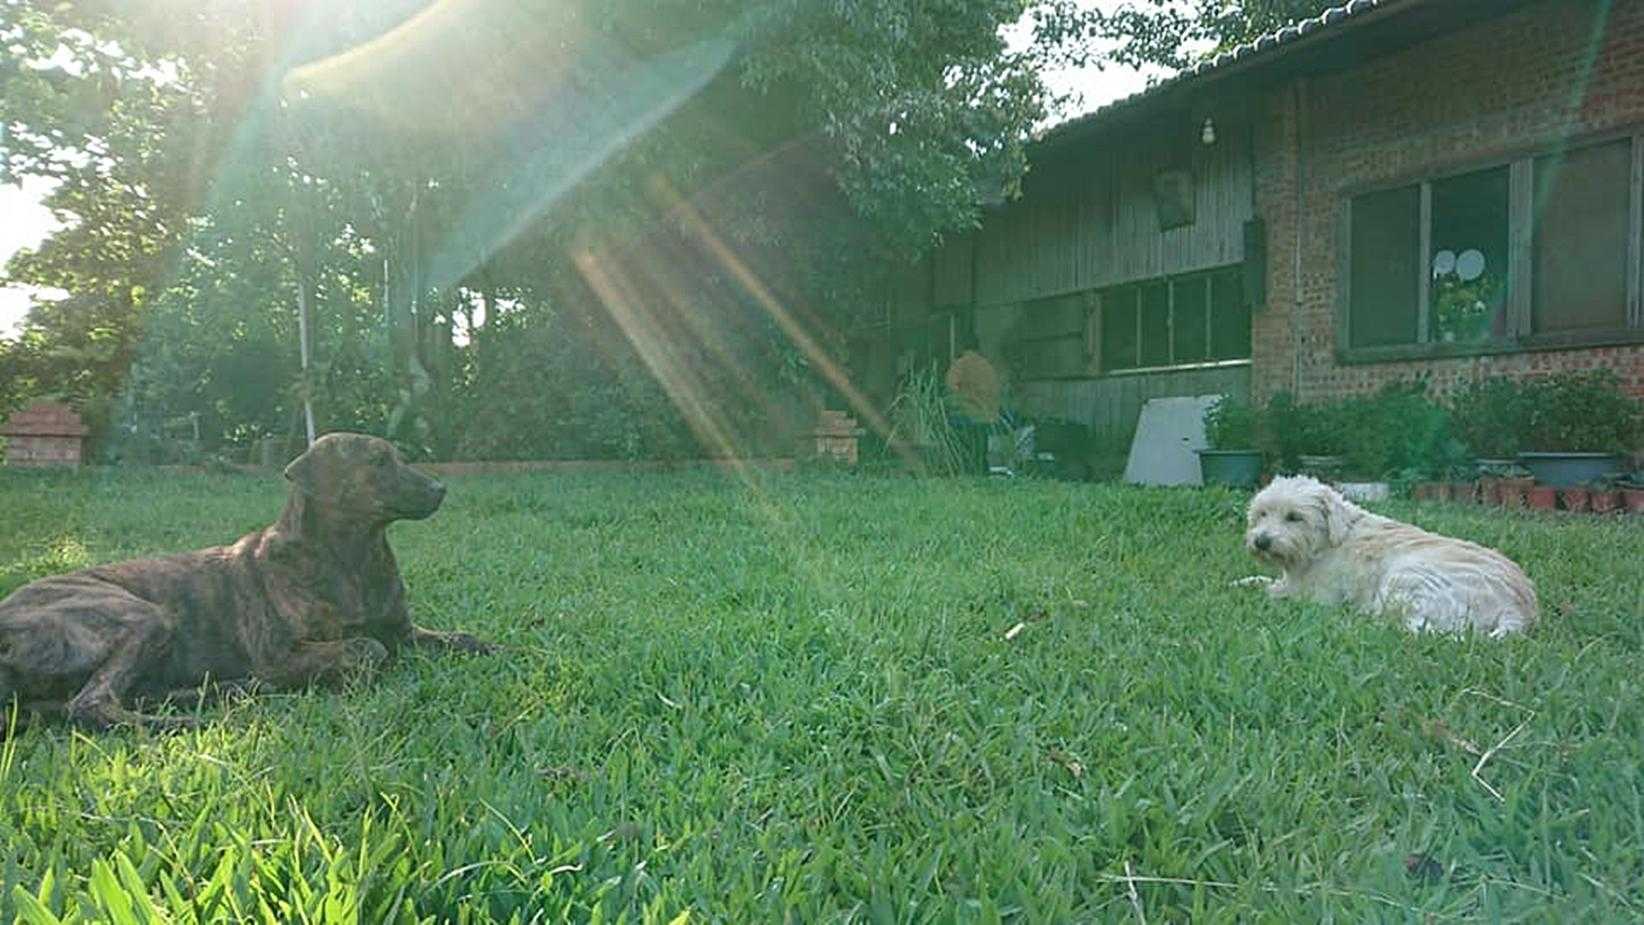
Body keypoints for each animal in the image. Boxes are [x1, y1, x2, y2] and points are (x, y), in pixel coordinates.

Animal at [0, 430, 493, 736]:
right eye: (377, 461)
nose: (440, 489)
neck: (354, 558)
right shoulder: (278, 654)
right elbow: (368, 648)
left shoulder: (404, 631)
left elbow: (457, 638)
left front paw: (491, 646)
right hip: (141, 616)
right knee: (89, 705)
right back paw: (188, 721)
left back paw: (227, 690)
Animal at [1236, 476, 1538, 637]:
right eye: (1262, 514)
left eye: (1294, 517)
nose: (1261, 541)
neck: (1325, 541)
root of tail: (1518, 609)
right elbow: (1262, 580)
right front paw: (1242, 583)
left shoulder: (1317, 595)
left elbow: (1274, 592)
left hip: (1406, 578)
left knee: (1412, 626)